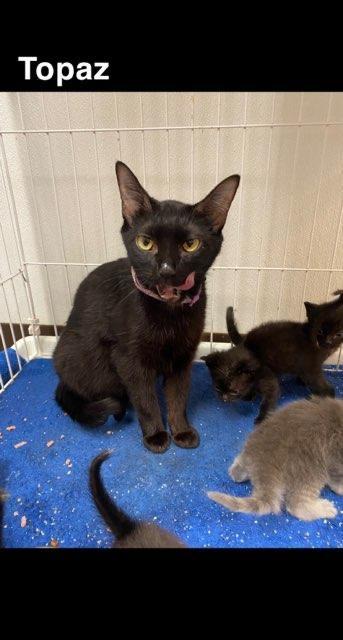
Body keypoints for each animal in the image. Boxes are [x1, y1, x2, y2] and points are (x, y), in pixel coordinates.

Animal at [53, 160, 241, 452]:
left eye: (191, 244)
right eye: (145, 242)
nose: (166, 269)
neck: (170, 312)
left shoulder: (183, 355)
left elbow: (178, 395)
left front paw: (181, 431)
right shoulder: (128, 359)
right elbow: (145, 398)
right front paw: (156, 435)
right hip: (81, 361)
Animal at [208, 398, 343, 524]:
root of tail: (266, 463)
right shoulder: (335, 458)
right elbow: (336, 479)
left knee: (238, 468)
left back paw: (238, 470)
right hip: (311, 468)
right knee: (296, 504)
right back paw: (323, 508)